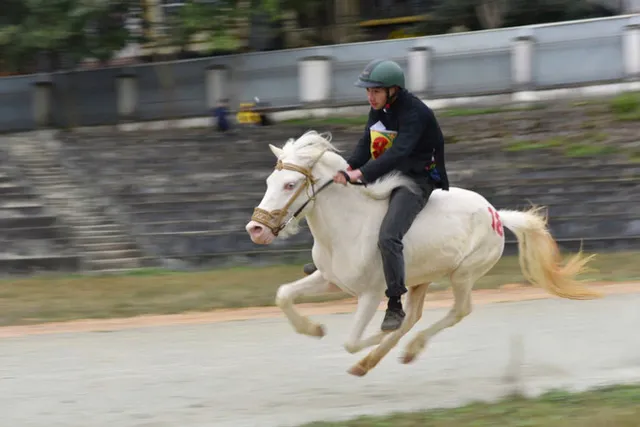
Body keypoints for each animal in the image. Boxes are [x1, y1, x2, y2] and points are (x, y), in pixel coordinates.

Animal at [245, 130, 602, 377]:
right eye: (270, 180)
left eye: (290, 185)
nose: (256, 229)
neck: (346, 227)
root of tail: (497, 214)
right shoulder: (328, 279)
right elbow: (283, 295)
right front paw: (314, 329)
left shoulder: (371, 293)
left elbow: (353, 340)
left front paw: (367, 337)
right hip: (420, 279)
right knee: (414, 315)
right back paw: (372, 361)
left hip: (463, 274)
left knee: (457, 311)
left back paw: (407, 349)